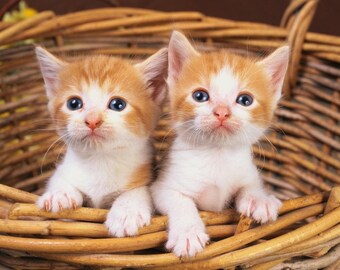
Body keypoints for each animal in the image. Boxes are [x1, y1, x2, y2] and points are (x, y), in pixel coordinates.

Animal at [35, 47, 168, 236]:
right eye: (74, 103)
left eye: (118, 104)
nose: (92, 120)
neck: (100, 160)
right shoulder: (65, 168)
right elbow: (59, 178)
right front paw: (59, 193)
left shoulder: (148, 172)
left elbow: (140, 191)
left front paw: (126, 212)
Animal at [151, 31, 290, 258]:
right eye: (200, 96)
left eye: (245, 100)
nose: (222, 112)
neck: (217, 153)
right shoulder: (163, 186)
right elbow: (180, 201)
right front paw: (188, 233)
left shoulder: (247, 171)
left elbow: (251, 185)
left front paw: (259, 200)